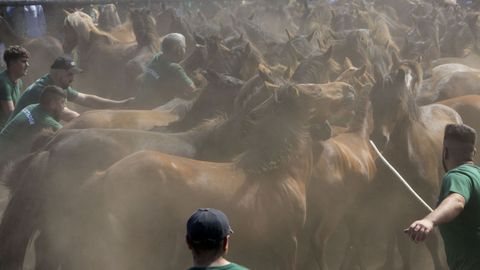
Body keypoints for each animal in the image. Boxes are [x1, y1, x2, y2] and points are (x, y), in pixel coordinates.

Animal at [368, 54, 462, 270]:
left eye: (397, 101)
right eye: (373, 99)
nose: (379, 138)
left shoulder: (426, 204)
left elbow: (433, 244)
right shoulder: (396, 209)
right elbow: (403, 249)